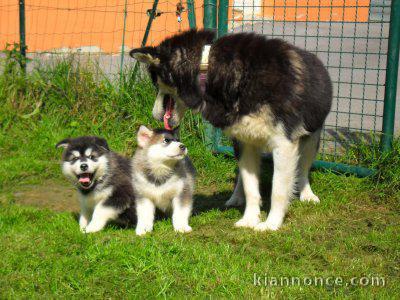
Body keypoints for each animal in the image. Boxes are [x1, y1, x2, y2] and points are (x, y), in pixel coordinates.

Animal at [130, 29, 332, 231]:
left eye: (156, 83)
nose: (154, 115)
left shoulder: (284, 144)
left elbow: (279, 190)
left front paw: (271, 223)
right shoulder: (245, 143)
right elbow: (251, 187)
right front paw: (249, 219)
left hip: (311, 138)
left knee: (303, 168)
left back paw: (307, 194)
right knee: (243, 174)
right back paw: (236, 196)